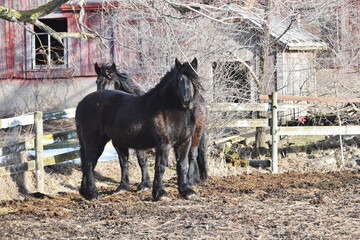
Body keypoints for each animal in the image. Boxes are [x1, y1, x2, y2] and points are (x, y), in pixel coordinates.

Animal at [77, 58, 202, 201]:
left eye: (194, 80)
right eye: (179, 80)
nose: (187, 102)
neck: (172, 108)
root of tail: (81, 103)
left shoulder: (184, 143)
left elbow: (182, 165)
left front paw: (187, 191)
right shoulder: (164, 144)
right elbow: (160, 167)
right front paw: (160, 193)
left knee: (90, 163)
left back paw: (85, 192)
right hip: (93, 141)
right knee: (89, 163)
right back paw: (93, 193)